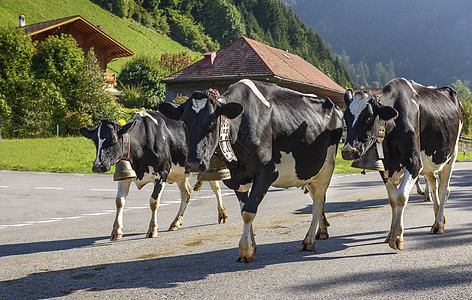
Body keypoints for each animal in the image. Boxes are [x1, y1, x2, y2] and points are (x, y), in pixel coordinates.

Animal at [80, 110, 228, 241]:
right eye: (95, 141)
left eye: (113, 139)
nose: (97, 166)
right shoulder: (125, 175)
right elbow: (119, 201)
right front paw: (116, 231)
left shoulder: (162, 173)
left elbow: (153, 202)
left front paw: (152, 230)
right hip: (181, 172)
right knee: (186, 193)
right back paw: (176, 222)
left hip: (207, 165)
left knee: (216, 187)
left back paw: (222, 214)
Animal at [159, 78, 342, 262]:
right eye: (184, 123)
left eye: (212, 122)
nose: (195, 164)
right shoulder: (236, 178)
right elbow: (244, 210)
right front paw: (251, 246)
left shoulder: (267, 172)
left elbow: (249, 211)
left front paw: (245, 250)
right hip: (309, 172)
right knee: (318, 198)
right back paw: (322, 231)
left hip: (328, 165)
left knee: (318, 202)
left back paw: (308, 240)